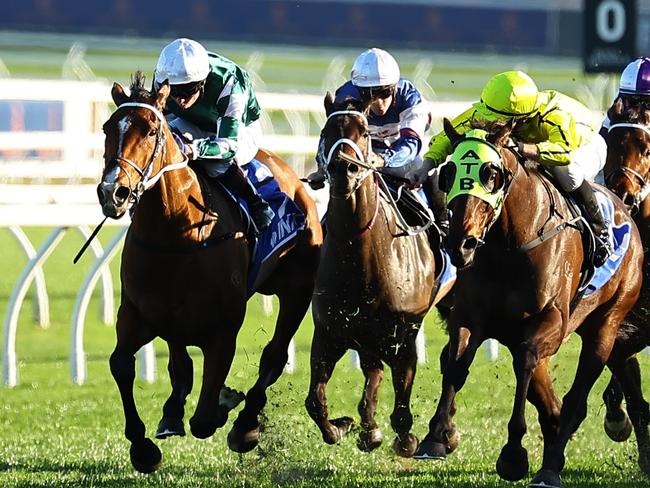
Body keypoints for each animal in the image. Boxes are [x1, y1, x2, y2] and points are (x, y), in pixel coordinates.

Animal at [95, 73, 320, 472]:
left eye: (152, 130)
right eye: (108, 127)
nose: (113, 192)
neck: (174, 232)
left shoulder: (223, 331)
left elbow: (203, 419)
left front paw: (223, 405)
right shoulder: (138, 313)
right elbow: (122, 364)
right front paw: (143, 446)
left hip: (297, 289)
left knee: (274, 358)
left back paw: (245, 426)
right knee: (180, 360)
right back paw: (173, 412)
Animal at [306, 94, 454, 458]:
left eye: (364, 134)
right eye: (327, 131)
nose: (344, 170)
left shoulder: (404, 335)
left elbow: (402, 401)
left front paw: (406, 440)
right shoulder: (329, 333)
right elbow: (315, 401)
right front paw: (344, 426)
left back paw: (444, 433)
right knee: (373, 369)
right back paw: (369, 427)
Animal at [416, 119, 644, 488]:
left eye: (492, 173)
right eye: (449, 173)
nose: (461, 243)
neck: (510, 244)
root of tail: (629, 217)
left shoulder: (551, 320)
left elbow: (524, 363)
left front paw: (513, 455)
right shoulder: (470, 316)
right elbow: (455, 366)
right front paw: (435, 437)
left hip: (606, 326)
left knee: (575, 397)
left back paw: (549, 468)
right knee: (551, 402)